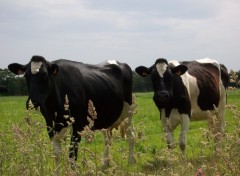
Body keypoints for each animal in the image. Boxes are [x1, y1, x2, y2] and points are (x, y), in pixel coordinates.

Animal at [8, 56, 136, 169]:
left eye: (45, 75)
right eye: (26, 76)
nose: (33, 102)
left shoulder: (78, 125)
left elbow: (72, 155)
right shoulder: (50, 126)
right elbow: (56, 154)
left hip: (128, 113)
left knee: (131, 136)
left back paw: (131, 162)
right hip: (108, 117)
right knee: (107, 139)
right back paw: (105, 164)